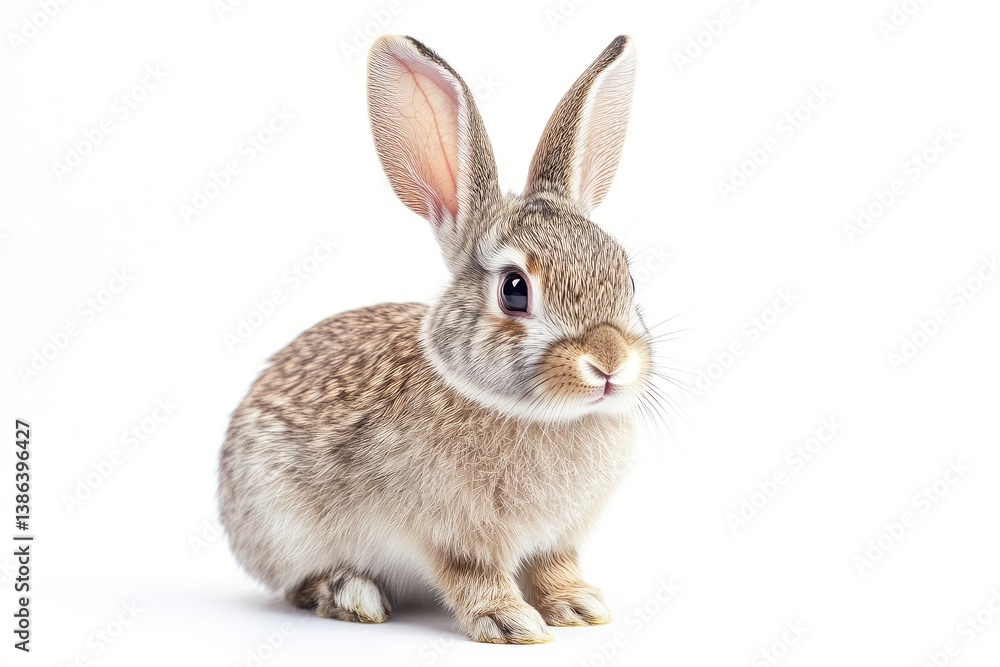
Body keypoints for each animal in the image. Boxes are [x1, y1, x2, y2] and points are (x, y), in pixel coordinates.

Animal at [218, 34, 654, 645]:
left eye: (629, 280)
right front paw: (510, 622)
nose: (610, 361)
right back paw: (351, 594)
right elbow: (472, 575)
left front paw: (579, 607)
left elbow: (554, 567)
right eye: (514, 290)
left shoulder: (557, 538)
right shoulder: (447, 534)